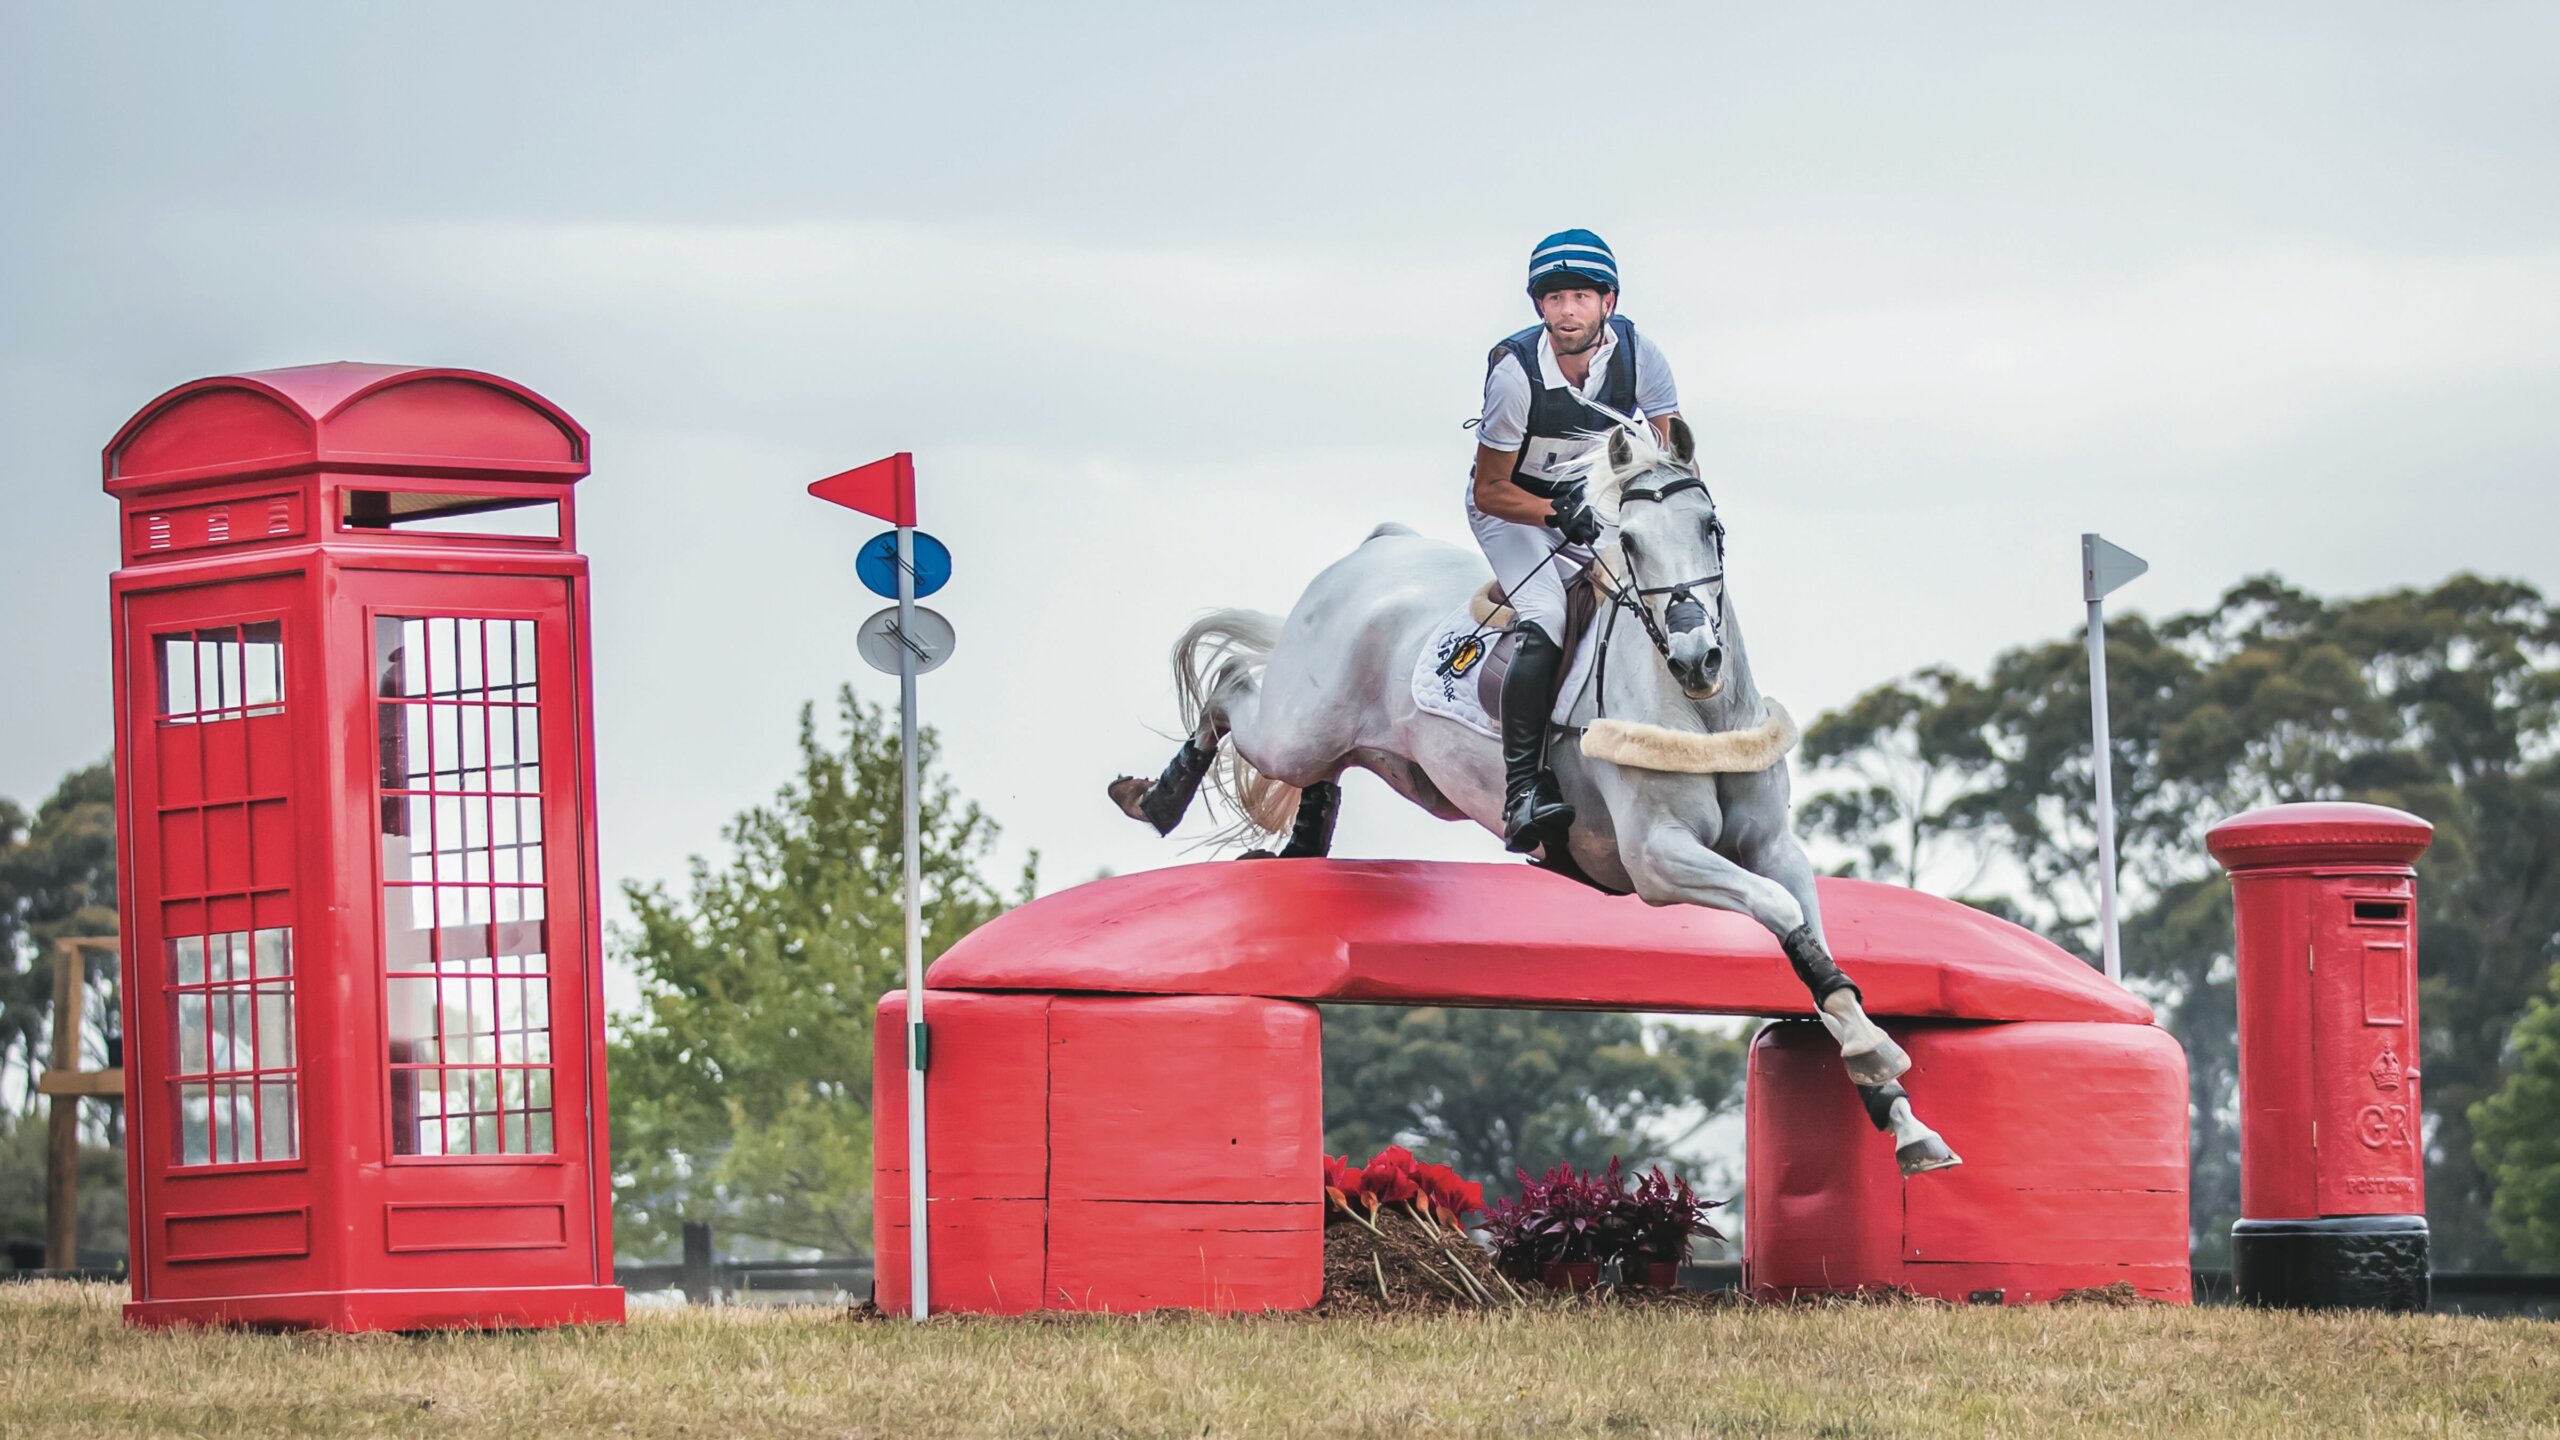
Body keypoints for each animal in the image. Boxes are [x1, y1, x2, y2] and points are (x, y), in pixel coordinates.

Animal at [1108, 419, 1961, 1176]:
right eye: (1630, 542)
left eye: (1712, 527)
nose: (1697, 657)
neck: (1702, 712)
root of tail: (1378, 548)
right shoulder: (1658, 859)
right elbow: (1781, 914)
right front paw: (1878, 1055)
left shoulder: (1772, 848)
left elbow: (1812, 943)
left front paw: (1898, 1114)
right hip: (1298, 722)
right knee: (1231, 685)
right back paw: (1157, 797)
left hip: (1379, 753)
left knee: (1318, 756)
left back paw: (1300, 843)